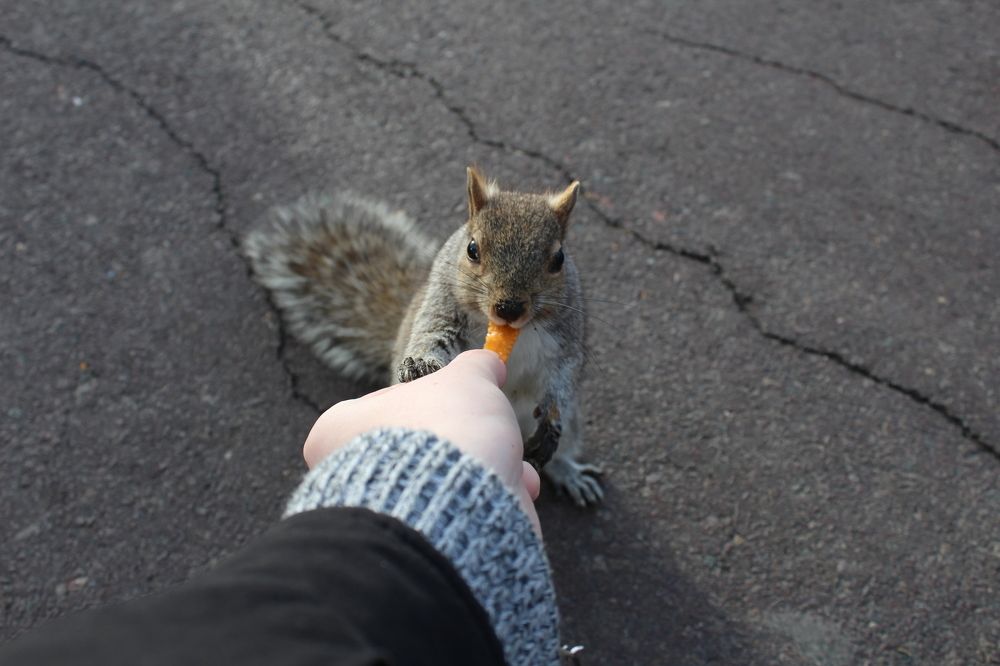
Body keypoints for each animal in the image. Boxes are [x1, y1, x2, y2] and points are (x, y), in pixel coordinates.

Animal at [244, 167, 603, 505]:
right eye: (472, 249)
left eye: (558, 259)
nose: (509, 308)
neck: (516, 332)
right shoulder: (442, 309)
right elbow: (433, 335)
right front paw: (420, 365)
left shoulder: (566, 340)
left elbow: (563, 378)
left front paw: (552, 416)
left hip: (572, 425)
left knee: (560, 448)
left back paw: (569, 472)